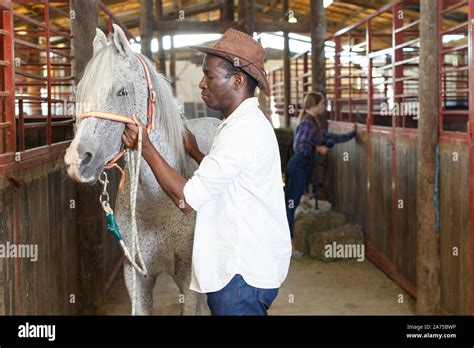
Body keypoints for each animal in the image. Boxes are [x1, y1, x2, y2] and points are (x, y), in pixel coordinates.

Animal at [64, 23, 220, 314]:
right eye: (80, 93)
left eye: (122, 91)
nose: (76, 160)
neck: (155, 201)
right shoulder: (135, 276)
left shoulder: (187, 280)